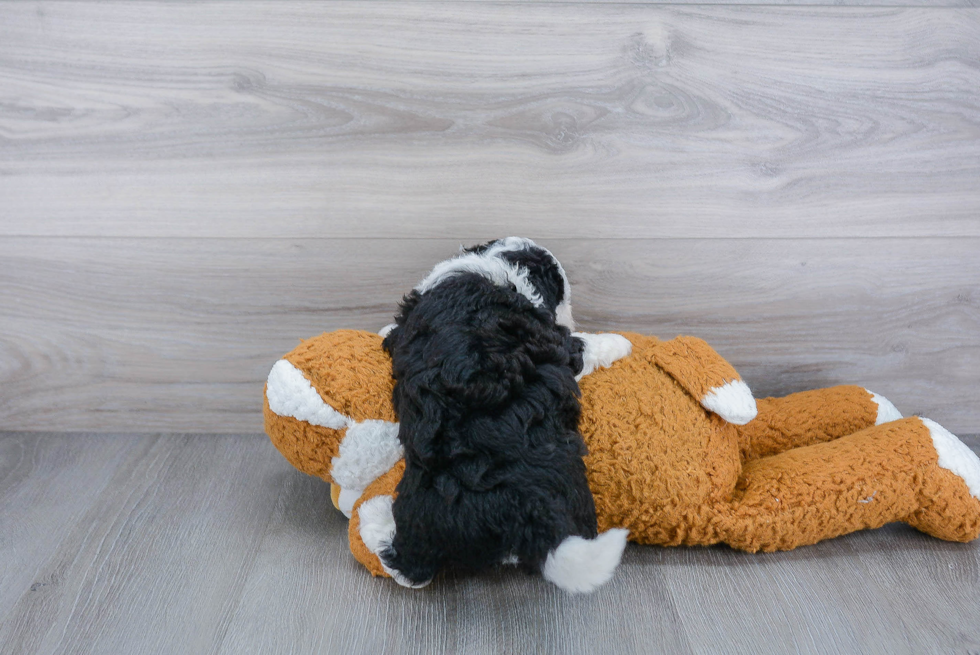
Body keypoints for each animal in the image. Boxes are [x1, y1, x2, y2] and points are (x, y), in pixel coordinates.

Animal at [376, 237, 636, 596]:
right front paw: (622, 342)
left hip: (423, 509)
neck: (498, 265)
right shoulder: (560, 343)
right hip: (575, 494)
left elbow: (391, 332)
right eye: (563, 293)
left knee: (411, 566)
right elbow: (586, 345)